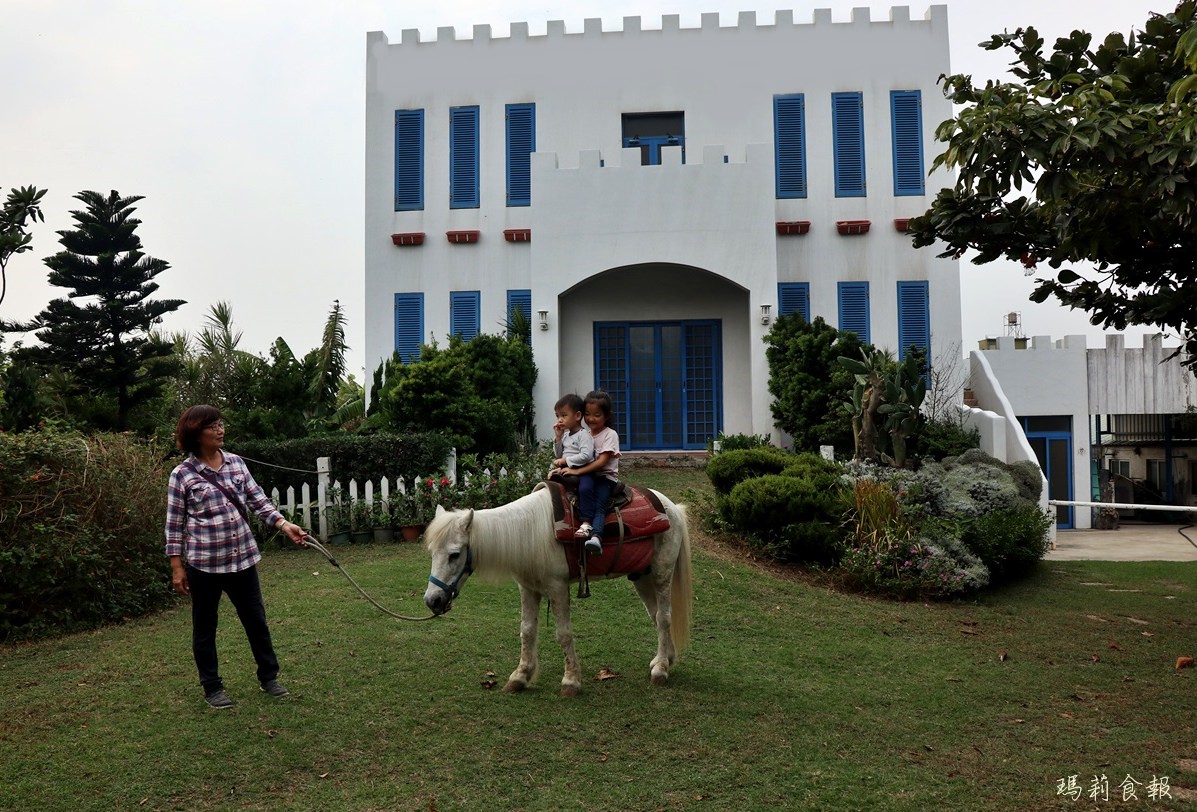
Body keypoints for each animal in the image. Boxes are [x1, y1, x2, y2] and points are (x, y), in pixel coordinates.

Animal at [426, 483, 699, 699]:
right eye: (432, 552)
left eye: (454, 554)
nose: (432, 600)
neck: (529, 533)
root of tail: (671, 508)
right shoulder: (528, 588)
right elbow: (527, 631)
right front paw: (520, 677)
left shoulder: (557, 588)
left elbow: (563, 634)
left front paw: (570, 681)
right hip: (642, 577)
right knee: (655, 615)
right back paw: (665, 659)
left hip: (662, 574)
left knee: (663, 618)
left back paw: (661, 670)